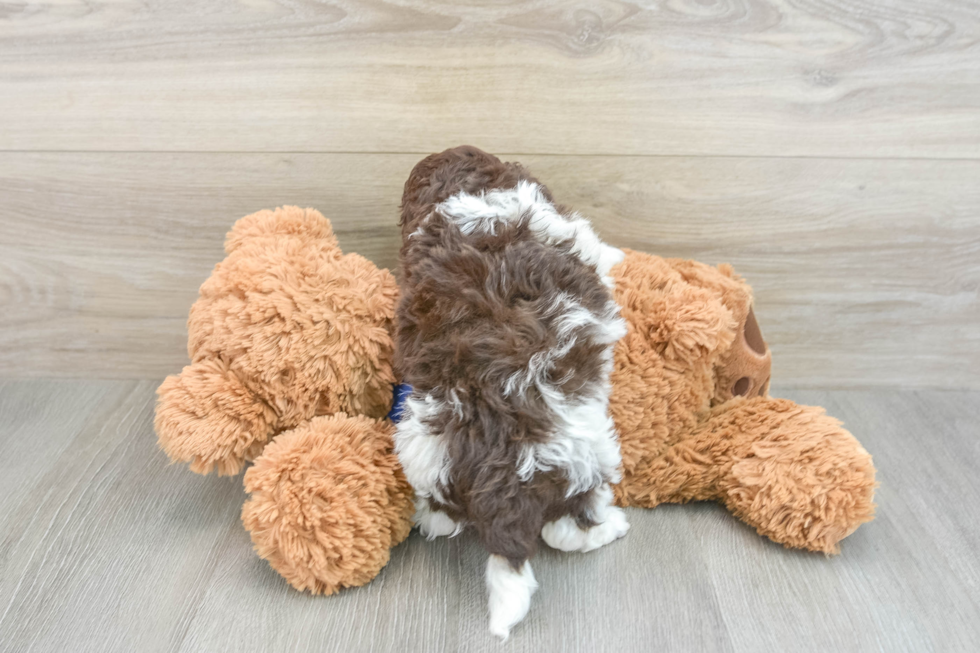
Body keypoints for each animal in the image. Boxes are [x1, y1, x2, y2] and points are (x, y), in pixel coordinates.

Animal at [392, 146, 628, 636]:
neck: (472, 193)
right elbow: (601, 251)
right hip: (588, 449)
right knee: (567, 528)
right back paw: (610, 526)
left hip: (423, 447)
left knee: (443, 509)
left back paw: (432, 521)